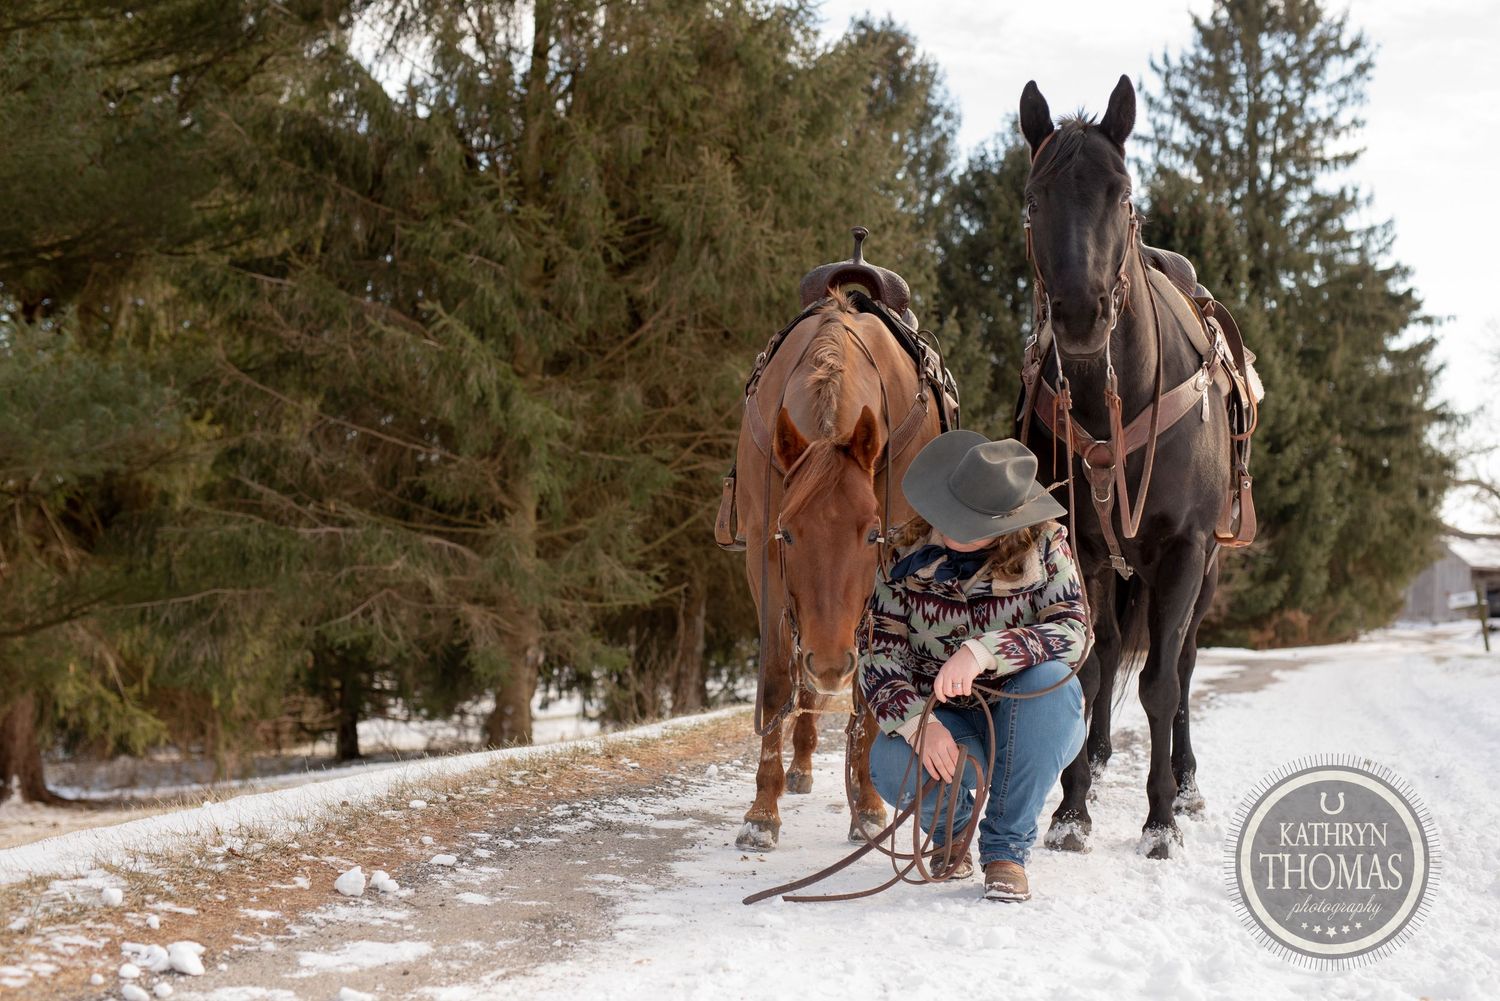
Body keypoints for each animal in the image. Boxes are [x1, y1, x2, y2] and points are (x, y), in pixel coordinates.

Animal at [731, 289, 943, 851]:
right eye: (787, 533)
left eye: (871, 535)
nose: (829, 660)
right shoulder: (763, 559)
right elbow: (776, 679)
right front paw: (762, 811)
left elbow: (871, 685)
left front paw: (866, 804)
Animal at [1015, 75, 1239, 859]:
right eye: (1034, 197)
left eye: (1121, 192)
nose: (1080, 315)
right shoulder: (1080, 548)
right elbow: (1087, 668)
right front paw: (1071, 809)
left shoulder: (1185, 549)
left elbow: (1164, 684)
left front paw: (1161, 818)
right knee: (1112, 653)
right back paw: (1101, 756)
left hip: (1206, 569)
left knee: (1185, 660)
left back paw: (1189, 780)